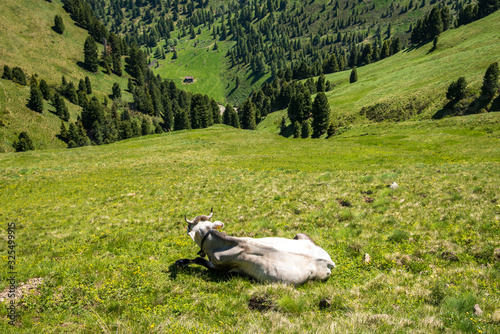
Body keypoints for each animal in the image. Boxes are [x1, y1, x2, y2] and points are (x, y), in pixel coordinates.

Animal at [176, 209, 336, 284]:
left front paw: (181, 262)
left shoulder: (220, 268)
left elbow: (198, 259)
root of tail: (328, 261)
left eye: (189, 227)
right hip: (300, 235)